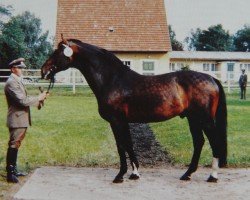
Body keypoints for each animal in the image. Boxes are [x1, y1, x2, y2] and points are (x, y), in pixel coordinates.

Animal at [40, 37, 227, 183]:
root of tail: (212, 79)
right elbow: (127, 145)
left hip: (205, 120)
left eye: (57, 52)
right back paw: (187, 174)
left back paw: (213, 176)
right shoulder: (121, 122)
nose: (43, 71)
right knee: (199, 142)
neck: (112, 79)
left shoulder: (117, 121)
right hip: (193, 119)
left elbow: (122, 146)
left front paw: (120, 175)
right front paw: (135, 173)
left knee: (214, 142)